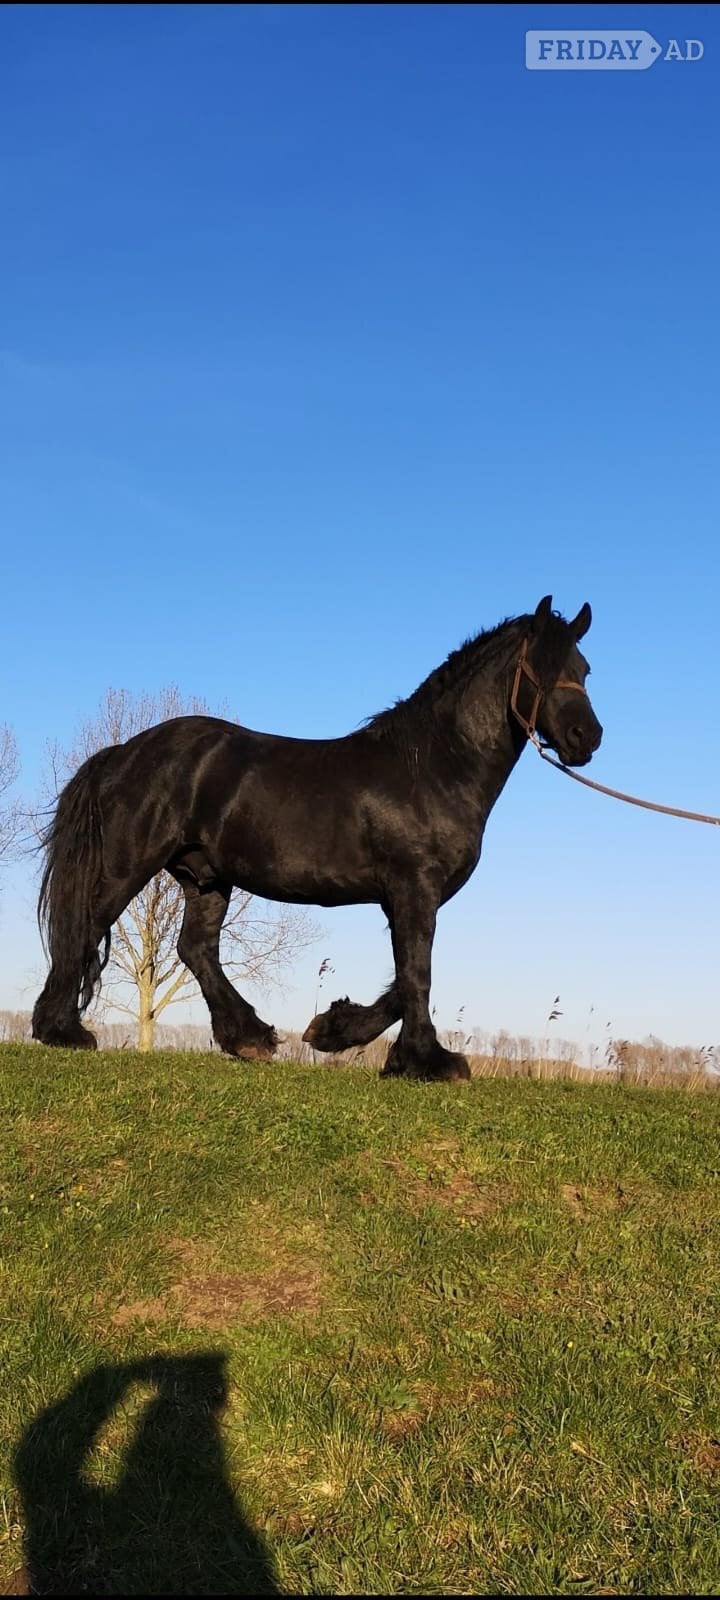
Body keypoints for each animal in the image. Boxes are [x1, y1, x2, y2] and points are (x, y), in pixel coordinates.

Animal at [32, 595, 602, 1081]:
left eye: (583, 670)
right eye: (540, 669)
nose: (587, 738)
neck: (434, 766)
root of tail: (124, 751)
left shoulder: (411, 897)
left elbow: (403, 980)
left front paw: (334, 1032)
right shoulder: (414, 888)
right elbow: (417, 972)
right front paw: (429, 1062)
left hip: (206, 877)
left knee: (196, 948)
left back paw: (249, 1038)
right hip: (129, 864)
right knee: (85, 926)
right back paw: (61, 1031)